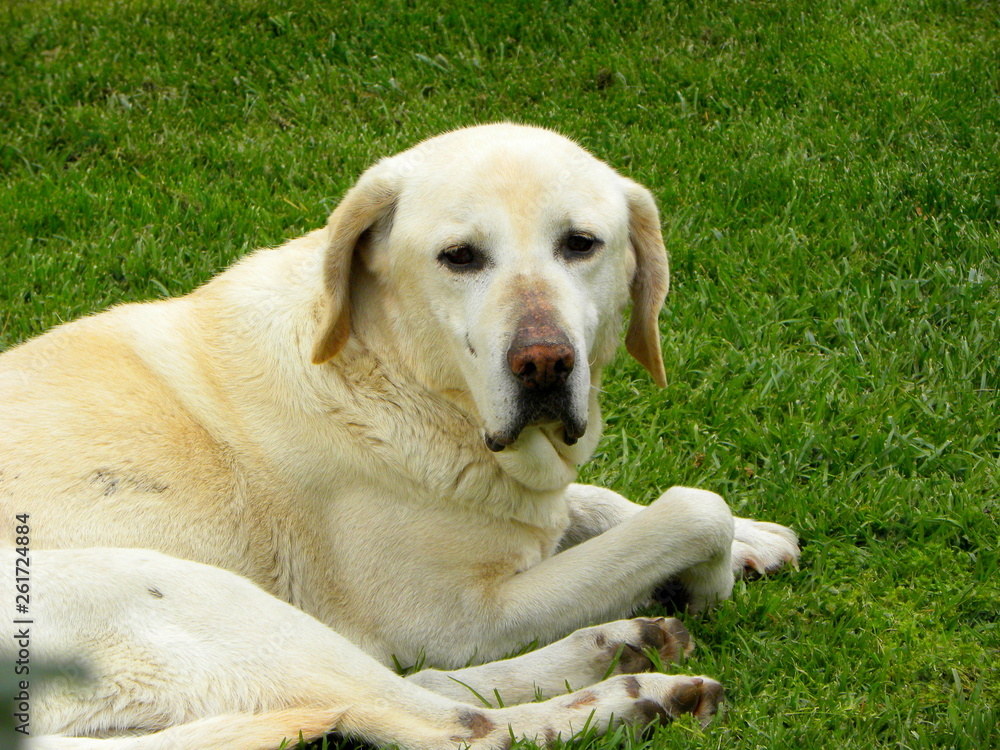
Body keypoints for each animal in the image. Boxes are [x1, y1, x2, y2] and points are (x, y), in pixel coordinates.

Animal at [0, 126, 800, 748]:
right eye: (460, 256)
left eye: (581, 244)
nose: (544, 362)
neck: (392, 372)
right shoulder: (461, 615)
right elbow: (692, 508)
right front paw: (713, 573)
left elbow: (596, 503)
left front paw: (754, 539)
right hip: (188, 594)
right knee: (450, 724)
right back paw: (634, 697)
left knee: (425, 689)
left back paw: (619, 646)